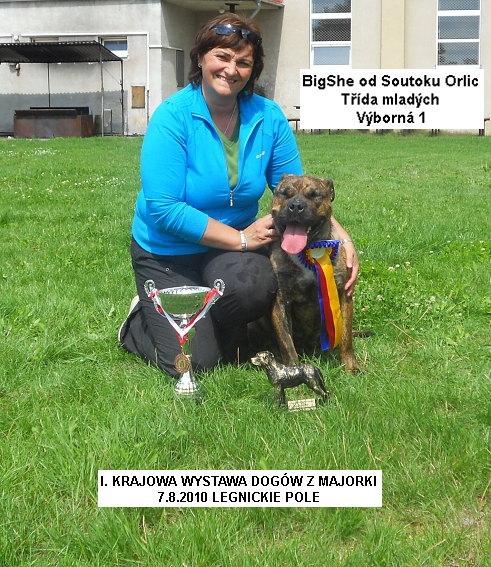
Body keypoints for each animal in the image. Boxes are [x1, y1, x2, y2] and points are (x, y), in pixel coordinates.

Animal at [269, 174, 359, 373]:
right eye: (285, 193)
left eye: (314, 195)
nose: (296, 206)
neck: (307, 251)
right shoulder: (281, 301)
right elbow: (286, 342)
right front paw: (294, 370)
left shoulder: (344, 293)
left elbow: (347, 336)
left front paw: (350, 365)